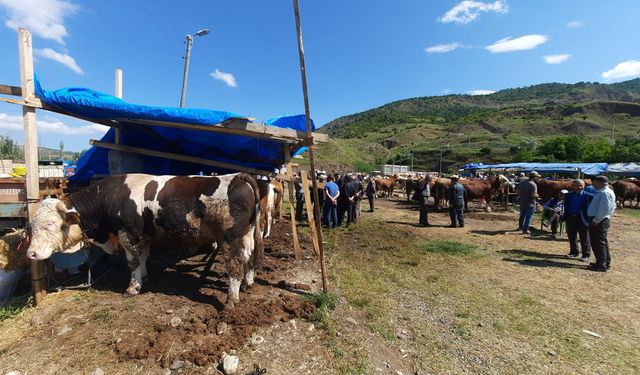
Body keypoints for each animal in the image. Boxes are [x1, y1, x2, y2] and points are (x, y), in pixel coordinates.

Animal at [25, 173, 262, 308]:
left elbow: (133, 261)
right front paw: (144, 276)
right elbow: (144, 256)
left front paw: (133, 287)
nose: (31, 253)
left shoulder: (127, 233)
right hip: (247, 234)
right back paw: (248, 283)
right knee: (249, 258)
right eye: (32, 225)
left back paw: (231, 299)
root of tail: (240, 176)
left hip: (229, 239)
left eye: (50, 224)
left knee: (235, 265)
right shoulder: (144, 234)